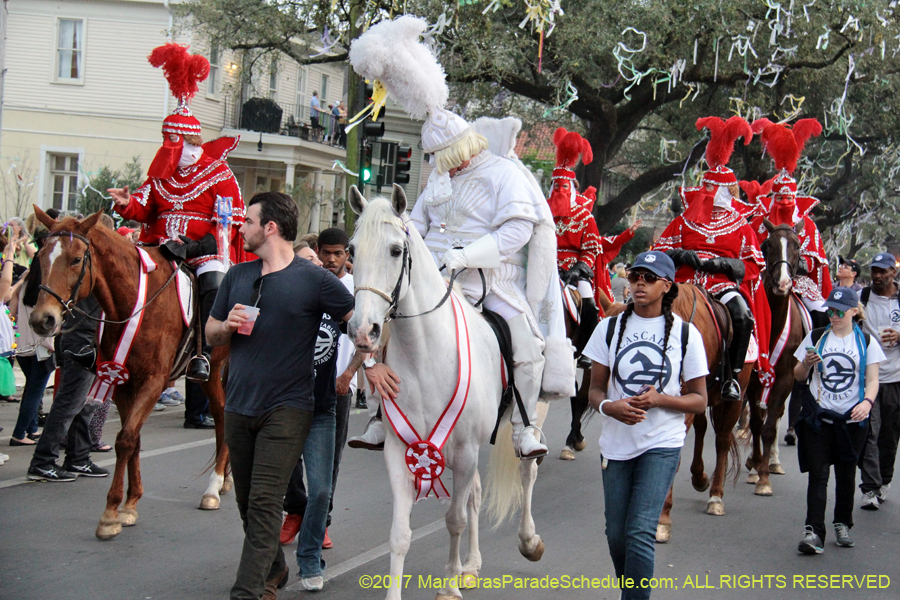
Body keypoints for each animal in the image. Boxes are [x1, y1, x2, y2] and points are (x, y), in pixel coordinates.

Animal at [30, 207, 232, 540]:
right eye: (41, 257)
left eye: (76, 259)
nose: (42, 319)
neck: (134, 301)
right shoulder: (121, 381)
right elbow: (133, 438)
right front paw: (128, 504)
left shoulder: (153, 380)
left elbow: (125, 439)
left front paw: (111, 515)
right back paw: (226, 479)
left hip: (213, 369)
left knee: (222, 417)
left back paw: (214, 487)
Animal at [344, 185, 540, 596]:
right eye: (351, 250)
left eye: (395, 250)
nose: (362, 330)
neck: (426, 357)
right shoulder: (403, 451)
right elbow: (401, 533)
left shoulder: (464, 452)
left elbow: (454, 519)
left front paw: (448, 586)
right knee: (477, 494)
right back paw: (472, 565)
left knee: (526, 469)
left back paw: (529, 540)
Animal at [652, 284, 752, 540]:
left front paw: (662, 518)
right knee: (702, 428)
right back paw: (700, 478)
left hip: (734, 399)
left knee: (723, 440)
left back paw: (716, 496)